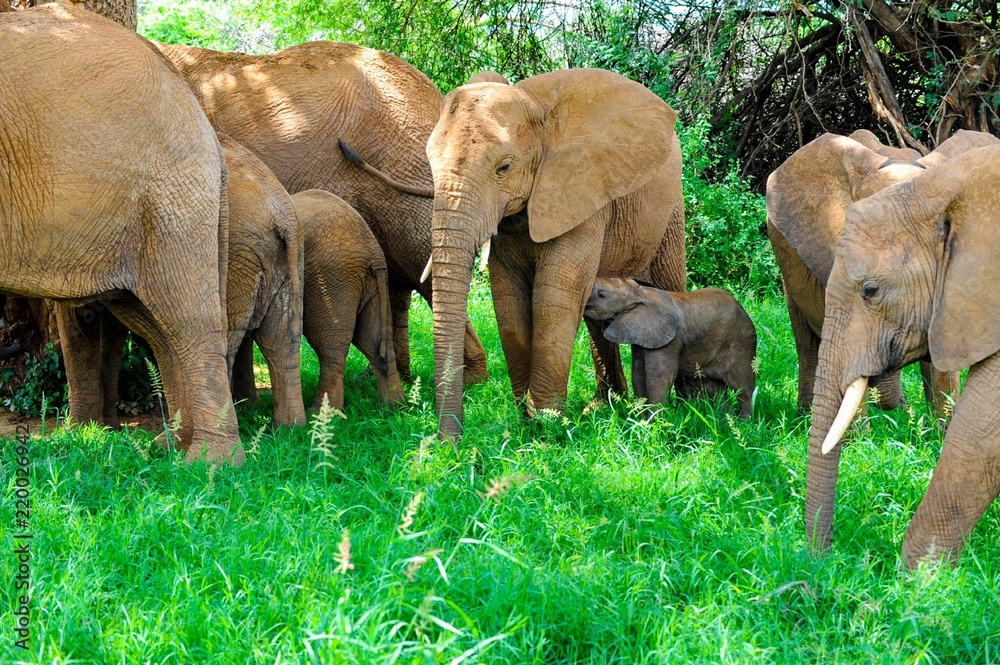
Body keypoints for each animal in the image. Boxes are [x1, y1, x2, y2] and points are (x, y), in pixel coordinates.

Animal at [58, 134, 308, 428]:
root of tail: (283, 214)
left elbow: (75, 323)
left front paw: (83, 429)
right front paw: (106, 427)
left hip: (234, 256)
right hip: (285, 258)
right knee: (281, 340)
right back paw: (290, 428)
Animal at [153, 40, 489, 386]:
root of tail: (433, 94)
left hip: (407, 165)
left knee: (422, 265)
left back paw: (469, 381)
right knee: (401, 276)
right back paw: (394, 379)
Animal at [275, 189, 404, 411]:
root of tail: (373, 252)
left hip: (330, 277)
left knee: (330, 348)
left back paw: (319, 412)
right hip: (371, 285)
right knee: (374, 339)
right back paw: (394, 408)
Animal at [419, 69, 687, 437]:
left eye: (504, 167)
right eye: (429, 162)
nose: (447, 443)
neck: (534, 105)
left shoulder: (580, 190)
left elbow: (554, 298)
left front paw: (547, 425)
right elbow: (509, 300)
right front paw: (525, 420)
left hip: (670, 209)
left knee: (668, 285)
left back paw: (680, 406)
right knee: (595, 311)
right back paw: (603, 408)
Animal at [584, 278, 757, 417]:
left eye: (601, 295)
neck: (639, 293)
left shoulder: (671, 340)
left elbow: (660, 376)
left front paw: (655, 424)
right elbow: (638, 374)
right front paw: (641, 421)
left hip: (742, 342)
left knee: (743, 387)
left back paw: (744, 422)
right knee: (715, 388)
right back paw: (723, 418)